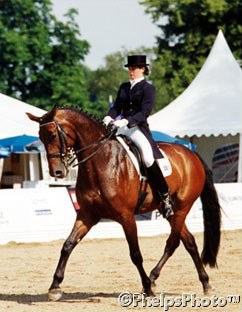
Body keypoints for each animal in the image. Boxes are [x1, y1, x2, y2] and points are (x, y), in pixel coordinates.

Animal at [27, 106, 221, 300]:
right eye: (40, 137)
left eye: (52, 135)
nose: (57, 172)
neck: (100, 161)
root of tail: (191, 154)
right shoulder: (87, 215)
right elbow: (67, 245)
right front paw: (55, 287)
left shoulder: (126, 216)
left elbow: (135, 254)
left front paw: (148, 289)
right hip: (170, 212)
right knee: (189, 242)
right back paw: (205, 283)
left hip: (182, 207)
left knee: (172, 243)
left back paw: (152, 279)